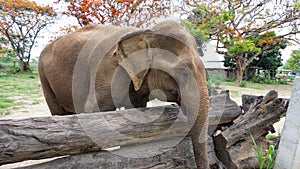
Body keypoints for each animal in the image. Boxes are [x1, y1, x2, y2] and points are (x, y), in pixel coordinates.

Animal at [38, 20, 209, 168]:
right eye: (182, 71)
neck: (145, 33)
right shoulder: (105, 71)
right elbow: (94, 112)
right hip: (43, 76)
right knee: (59, 113)